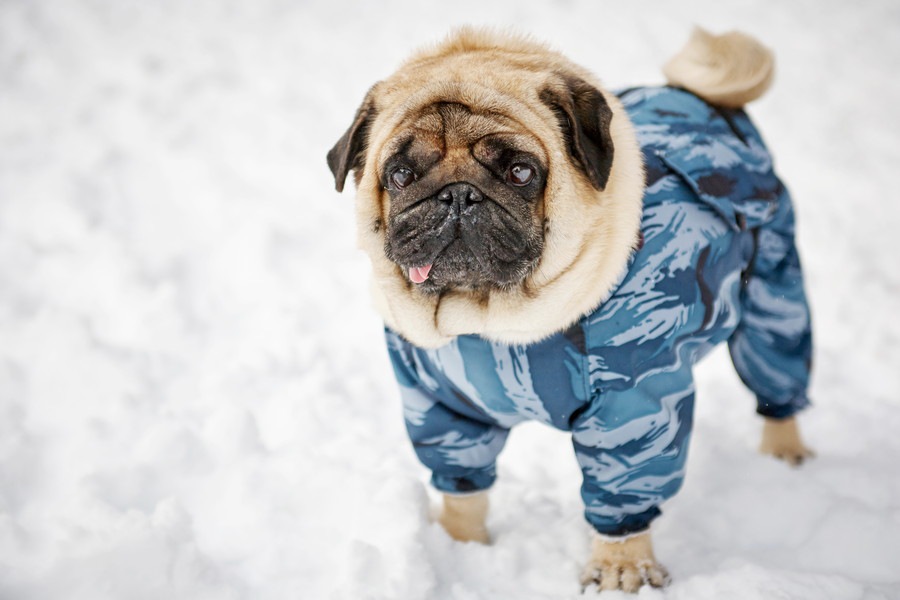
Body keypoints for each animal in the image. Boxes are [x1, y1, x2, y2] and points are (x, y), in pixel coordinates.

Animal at [326, 27, 816, 592]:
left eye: (521, 172)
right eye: (401, 175)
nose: (458, 196)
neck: (490, 319)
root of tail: (703, 97)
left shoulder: (632, 405)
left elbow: (623, 494)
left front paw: (623, 568)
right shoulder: (440, 406)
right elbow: (462, 485)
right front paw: (459, 544)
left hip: (772, 291)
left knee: (777, 376)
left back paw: (784, 450)